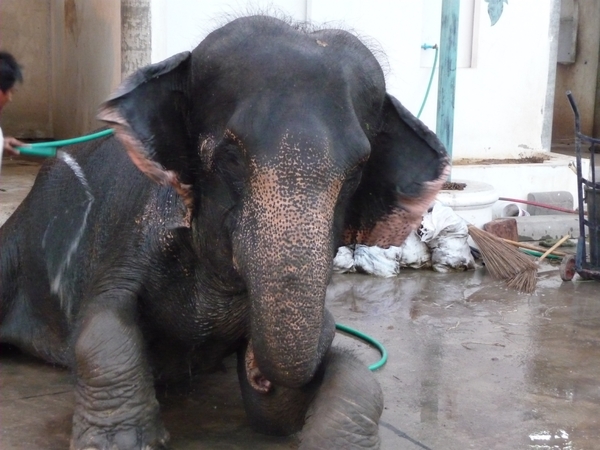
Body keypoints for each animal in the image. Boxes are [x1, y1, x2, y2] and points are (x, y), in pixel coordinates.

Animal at [0, 15, 448, 450]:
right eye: (230, 157)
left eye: (356, 172)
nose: (258, 372)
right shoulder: (135, 231)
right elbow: (103, 321)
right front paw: (119, 442)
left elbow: (348, 371)